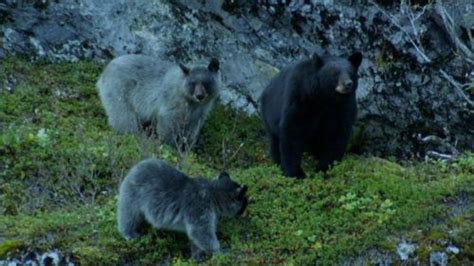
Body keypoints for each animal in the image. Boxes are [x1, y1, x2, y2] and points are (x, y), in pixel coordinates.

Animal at [260, 51, 362, 179]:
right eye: (334, 73)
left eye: (351, 73)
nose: (348, 84)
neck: (326, 98)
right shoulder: (301, 97)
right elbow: (293, 129)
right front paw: (295, 173)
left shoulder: (343, 106)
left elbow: (337, 133)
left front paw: (324, 168)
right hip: (269, 115)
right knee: (274, 141)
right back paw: (278, 164)